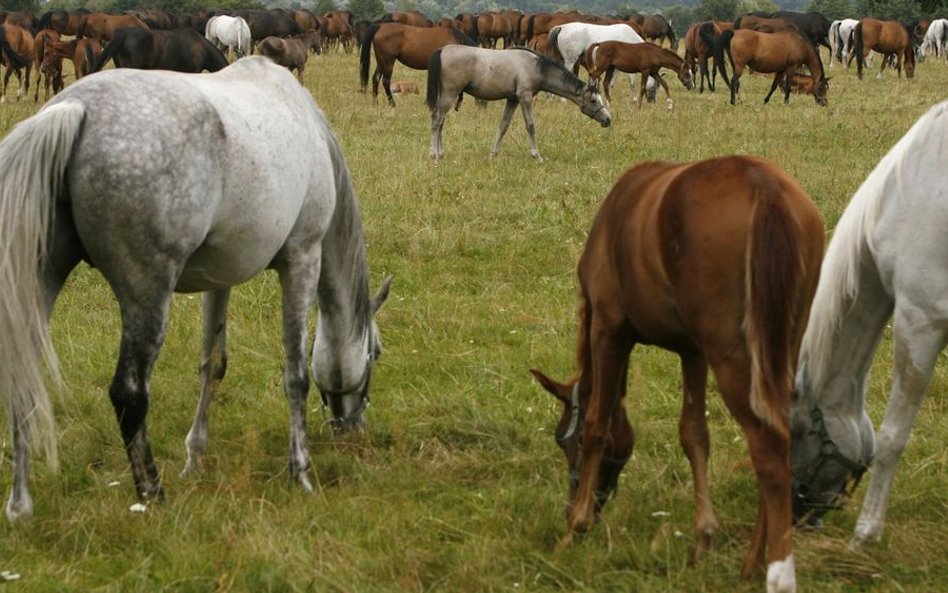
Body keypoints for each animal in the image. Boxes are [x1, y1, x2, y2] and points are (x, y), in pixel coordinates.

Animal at [0, 54, 392, 520]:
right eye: (375, 352)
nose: (352, 429)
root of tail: (75, 108)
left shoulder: (219, 280)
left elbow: (213, 364)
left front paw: (195, 458)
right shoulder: (302, 258)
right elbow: (295, 373)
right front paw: (301, 472)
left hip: (40, 283)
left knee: (22, 377)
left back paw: (20, 505)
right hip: (147, 298)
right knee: (129, 393)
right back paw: (151, 494)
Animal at [426, 45, 612, 162]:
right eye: (593, 100)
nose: (608, 119)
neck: (536, 67)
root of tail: (442, 50)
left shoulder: (513, 100)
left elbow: (503, 126)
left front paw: (493, 154)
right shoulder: (525, 97)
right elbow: (530, 126)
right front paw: (537, 155)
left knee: (441, 122)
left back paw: (440, 153)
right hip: (449, 94)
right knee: (436, 119)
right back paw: (434, 154)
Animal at [528, 155, 824, 588]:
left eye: (565, 439)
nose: (573, 505)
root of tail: (765, 187)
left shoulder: (609, 329)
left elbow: (599, 422)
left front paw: (575, 528)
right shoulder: (693, 352)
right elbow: (694, 435)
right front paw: (703, 539)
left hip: (733, 358)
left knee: (768, 450)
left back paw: (768, 566)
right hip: (779, 350)